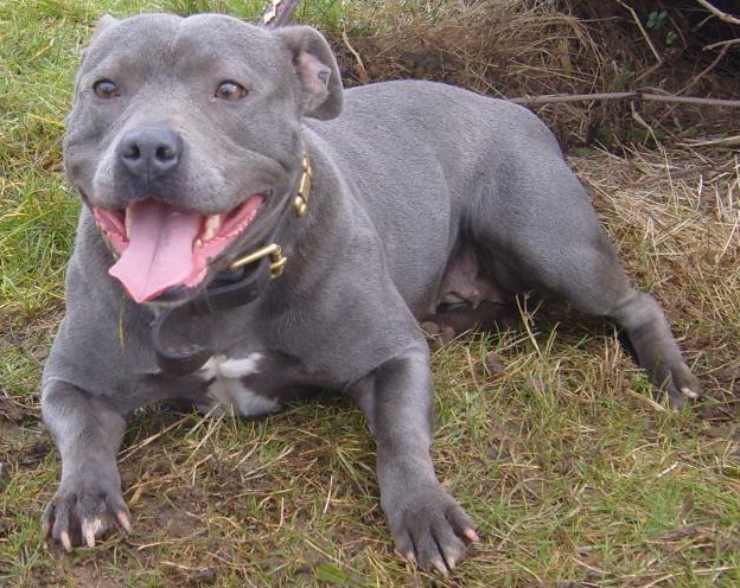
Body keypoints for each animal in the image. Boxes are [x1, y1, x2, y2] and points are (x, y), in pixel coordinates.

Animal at [42, 13, 700, 576]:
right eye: (105, 87)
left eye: (229, 90)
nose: (148, 148)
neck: (220, 295)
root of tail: (512, 107)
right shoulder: (71, 381)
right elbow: (81, 434)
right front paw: (83, 498)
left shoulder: (392, 357)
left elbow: (400, 437)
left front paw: (425, 510)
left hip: (549, 241)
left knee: (635, 302)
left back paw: (673, 377)